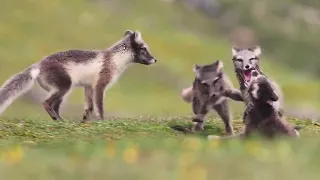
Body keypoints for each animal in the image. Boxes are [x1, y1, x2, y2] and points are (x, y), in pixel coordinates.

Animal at [0, 29, 158, 122]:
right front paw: (102, 121)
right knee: (46, 103)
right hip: (64, 85)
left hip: (61, 91)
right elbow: (99, 106)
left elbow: (89, 107)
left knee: (55, 105)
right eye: (144, 49)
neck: (115, 59)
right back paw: (58, 119)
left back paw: (60, 120)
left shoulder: (88, 86)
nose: (155, 60)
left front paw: (85, 121)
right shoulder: (100, 84)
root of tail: (38, 65)